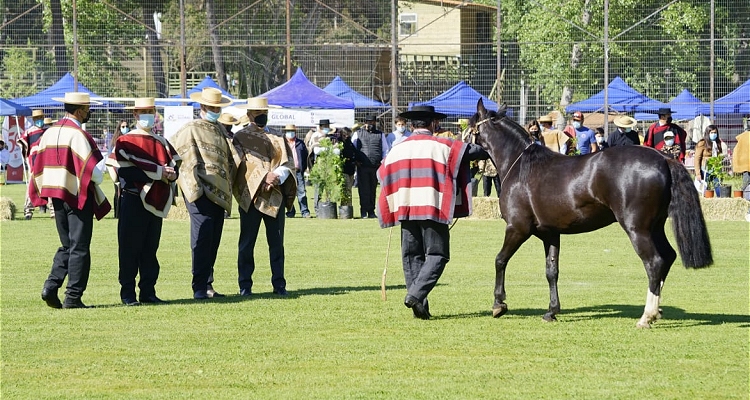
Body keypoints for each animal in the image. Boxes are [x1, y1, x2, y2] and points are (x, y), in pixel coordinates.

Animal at [472, 98, 712, 326]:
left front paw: (499, 304)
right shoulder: (550, 233)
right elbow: (552, 271)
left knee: (655, 262)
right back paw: (657, 310)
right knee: (668, 256)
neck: (520, 165)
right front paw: (552, 311)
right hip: (655, 227)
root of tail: (663, 159)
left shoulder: (517, 228)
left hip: (637, 229)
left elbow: (500, 260)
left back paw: (647, 316)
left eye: (472, 123)